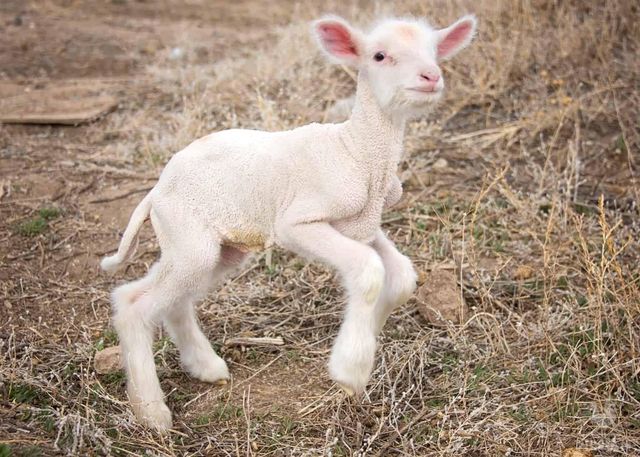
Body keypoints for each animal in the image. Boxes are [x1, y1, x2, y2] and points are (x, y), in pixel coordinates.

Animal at [101, 13, 477, 431]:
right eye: (379, 55)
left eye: (434, 51)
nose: (431, 76)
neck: (356, 151)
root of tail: (156, 191)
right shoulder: (299, 223)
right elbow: (369, 271)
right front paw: (351, 369)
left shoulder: (364, 226)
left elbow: (402, 276)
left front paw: (368, 335)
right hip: (189, 238)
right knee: (137, 308)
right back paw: (152, 412)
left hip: (213, 250)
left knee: (154, 297)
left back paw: (205, 367)